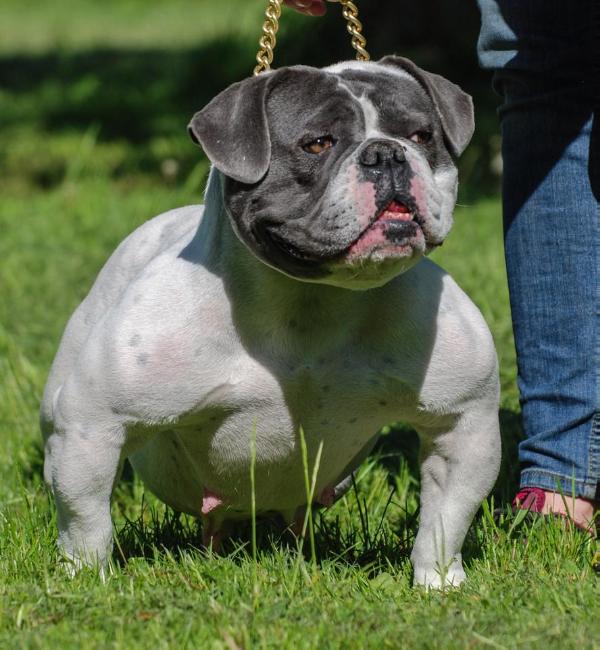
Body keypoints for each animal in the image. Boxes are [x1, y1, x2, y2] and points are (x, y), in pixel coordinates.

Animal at [42, 57, 500, 588]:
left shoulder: (464, 423)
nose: (386, 154)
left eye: (422, 136)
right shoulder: (92, 426)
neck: (313, 300)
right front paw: (84, 580)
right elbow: (86, 519)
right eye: (317, 143)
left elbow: (445, 519)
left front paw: (439, 582)